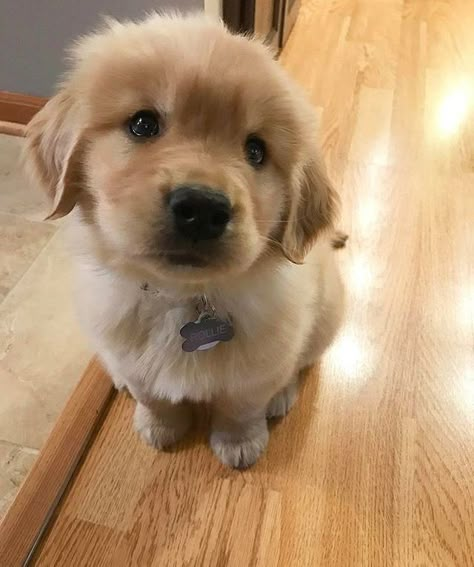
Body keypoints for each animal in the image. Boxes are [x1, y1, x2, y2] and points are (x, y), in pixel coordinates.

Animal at [24, 13, 344, 468]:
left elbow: (242, 406)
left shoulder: (261, 365)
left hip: (327, 314)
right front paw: (160, 427)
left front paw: (240, 442)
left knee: (299, 364)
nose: (202, 208)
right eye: (143, 124)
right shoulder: (130, 353)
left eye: (256, 151)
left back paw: (281, 396)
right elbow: (152, 395)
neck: (181, 298)